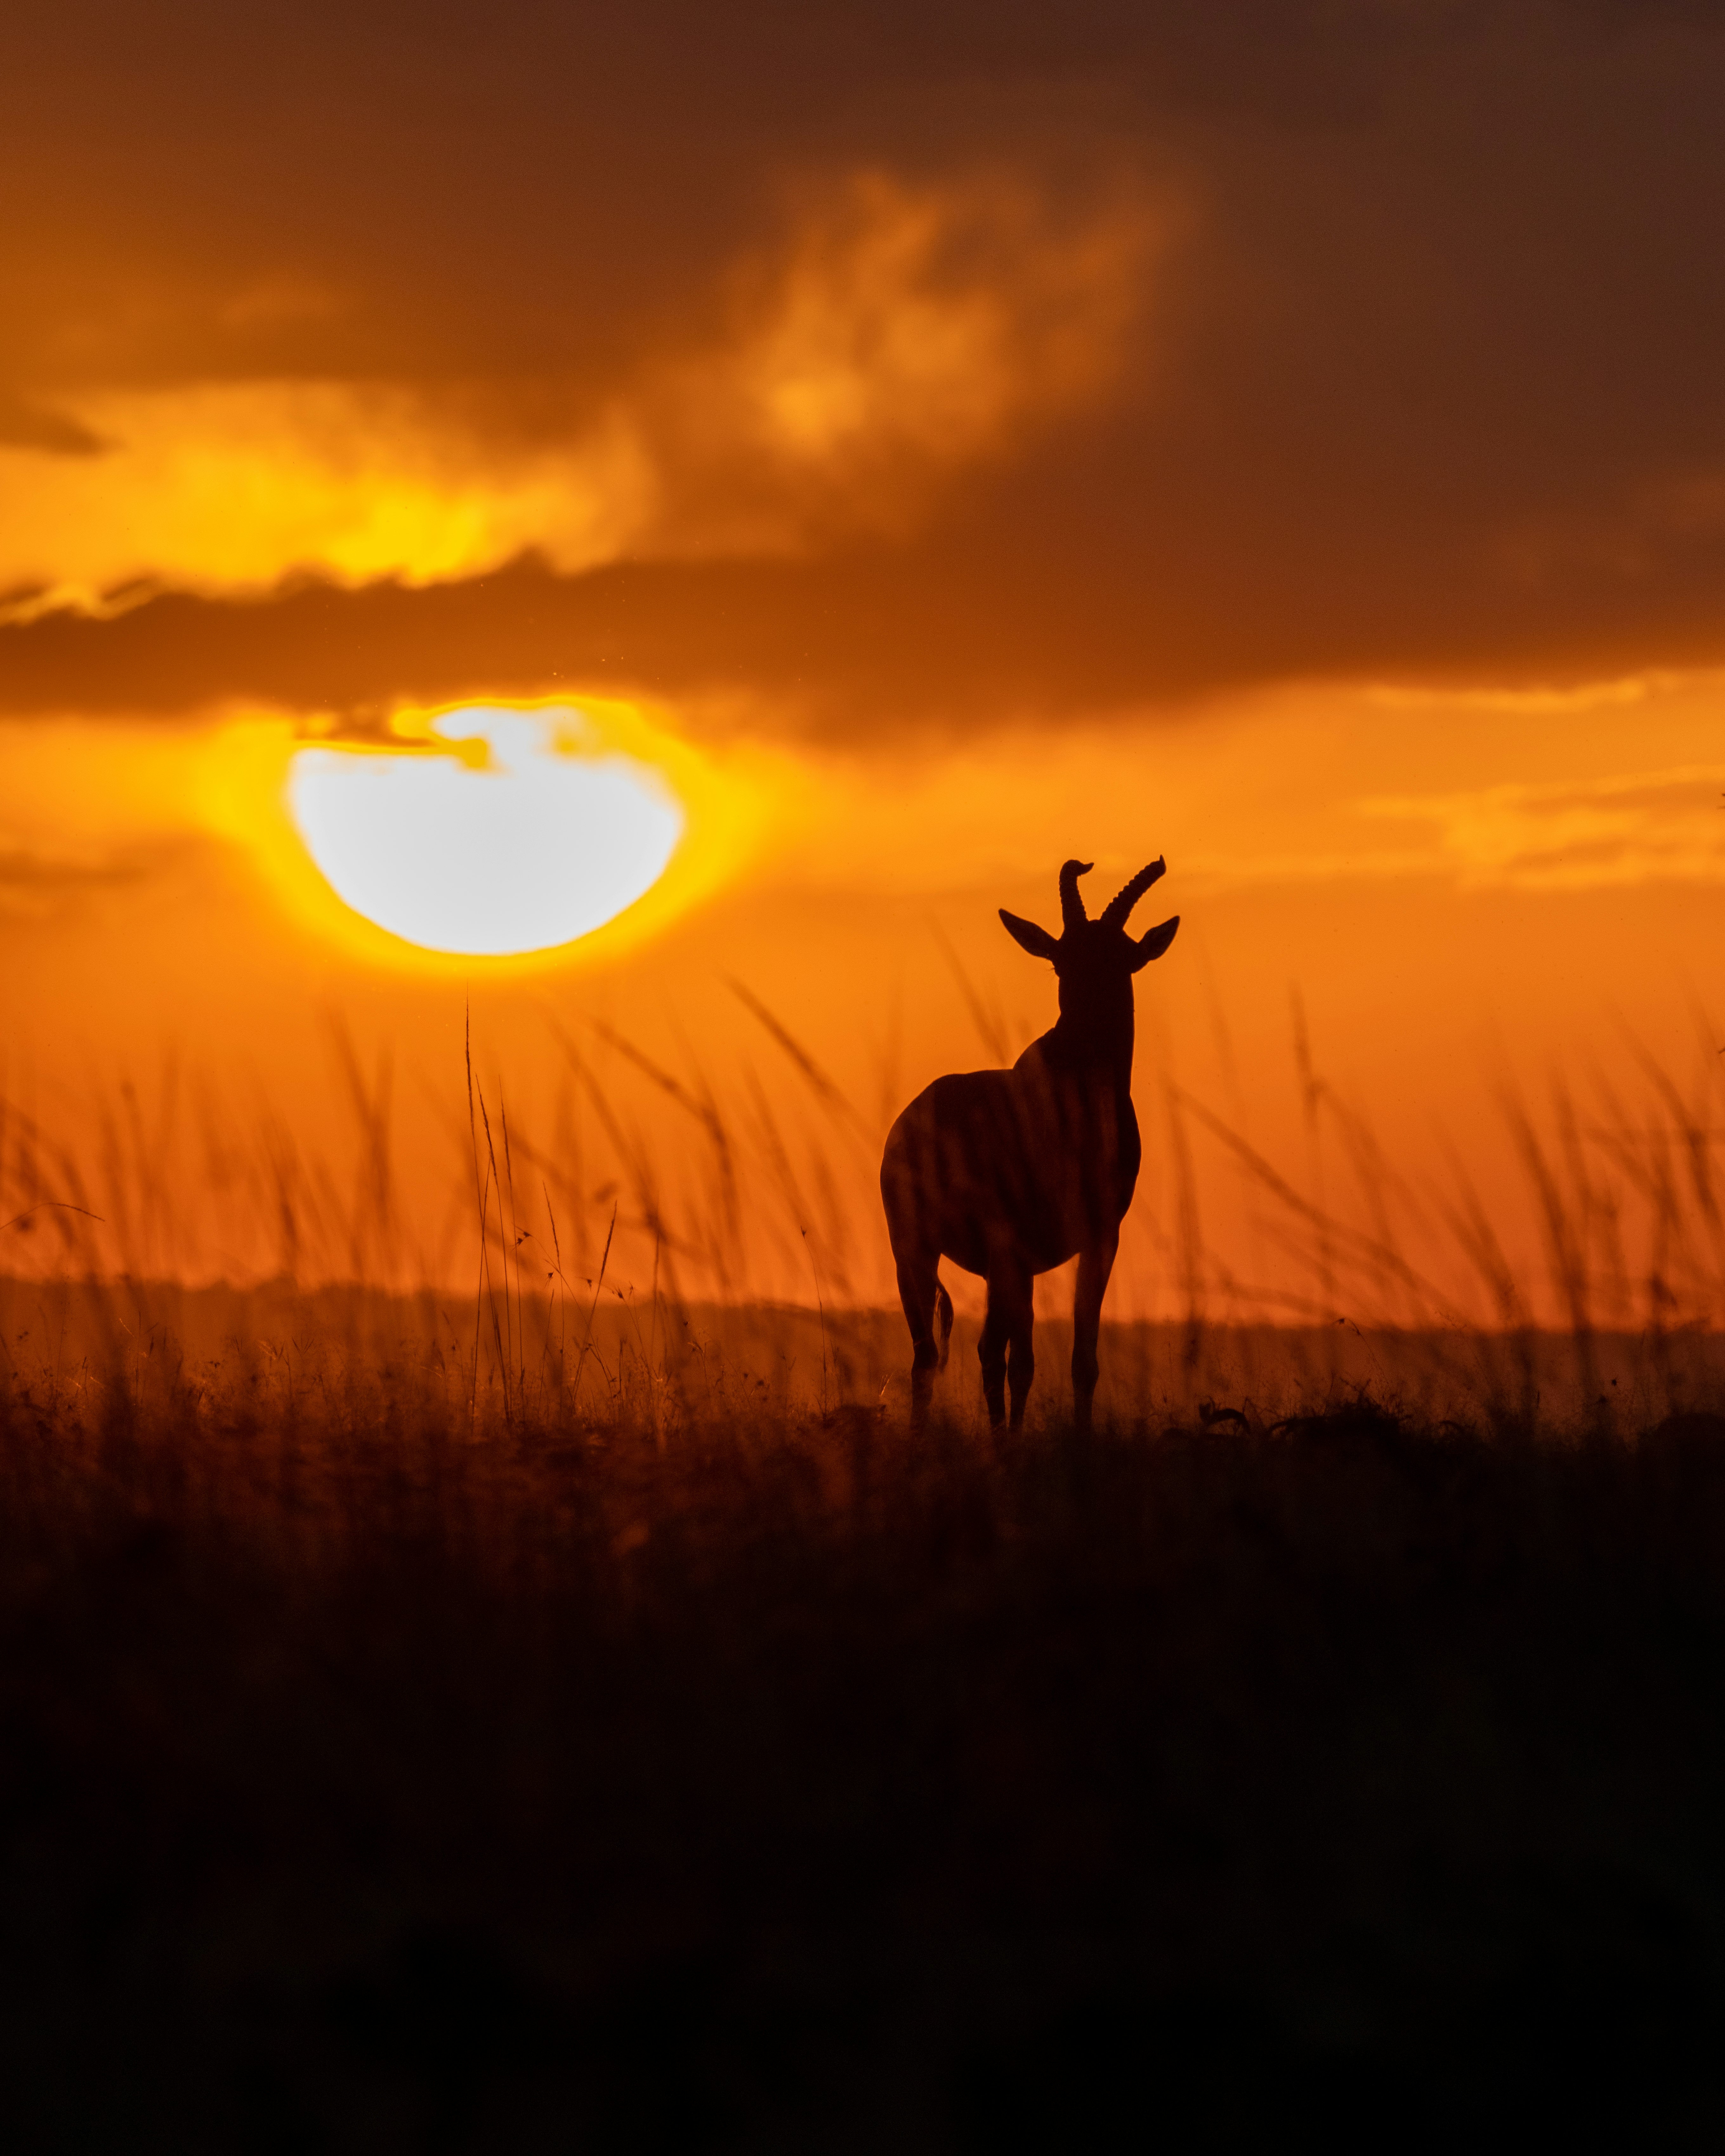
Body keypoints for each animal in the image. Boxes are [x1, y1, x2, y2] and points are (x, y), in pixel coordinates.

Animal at [884, 854, 1182, 1432]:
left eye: (1122, 962)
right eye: (1060, 963)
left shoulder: (1100, 1239)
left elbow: (1081, 1358)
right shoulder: (1015, 1248)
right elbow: (1022, 1360)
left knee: (983, 1349)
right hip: (915, 1249)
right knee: (929, 1356)